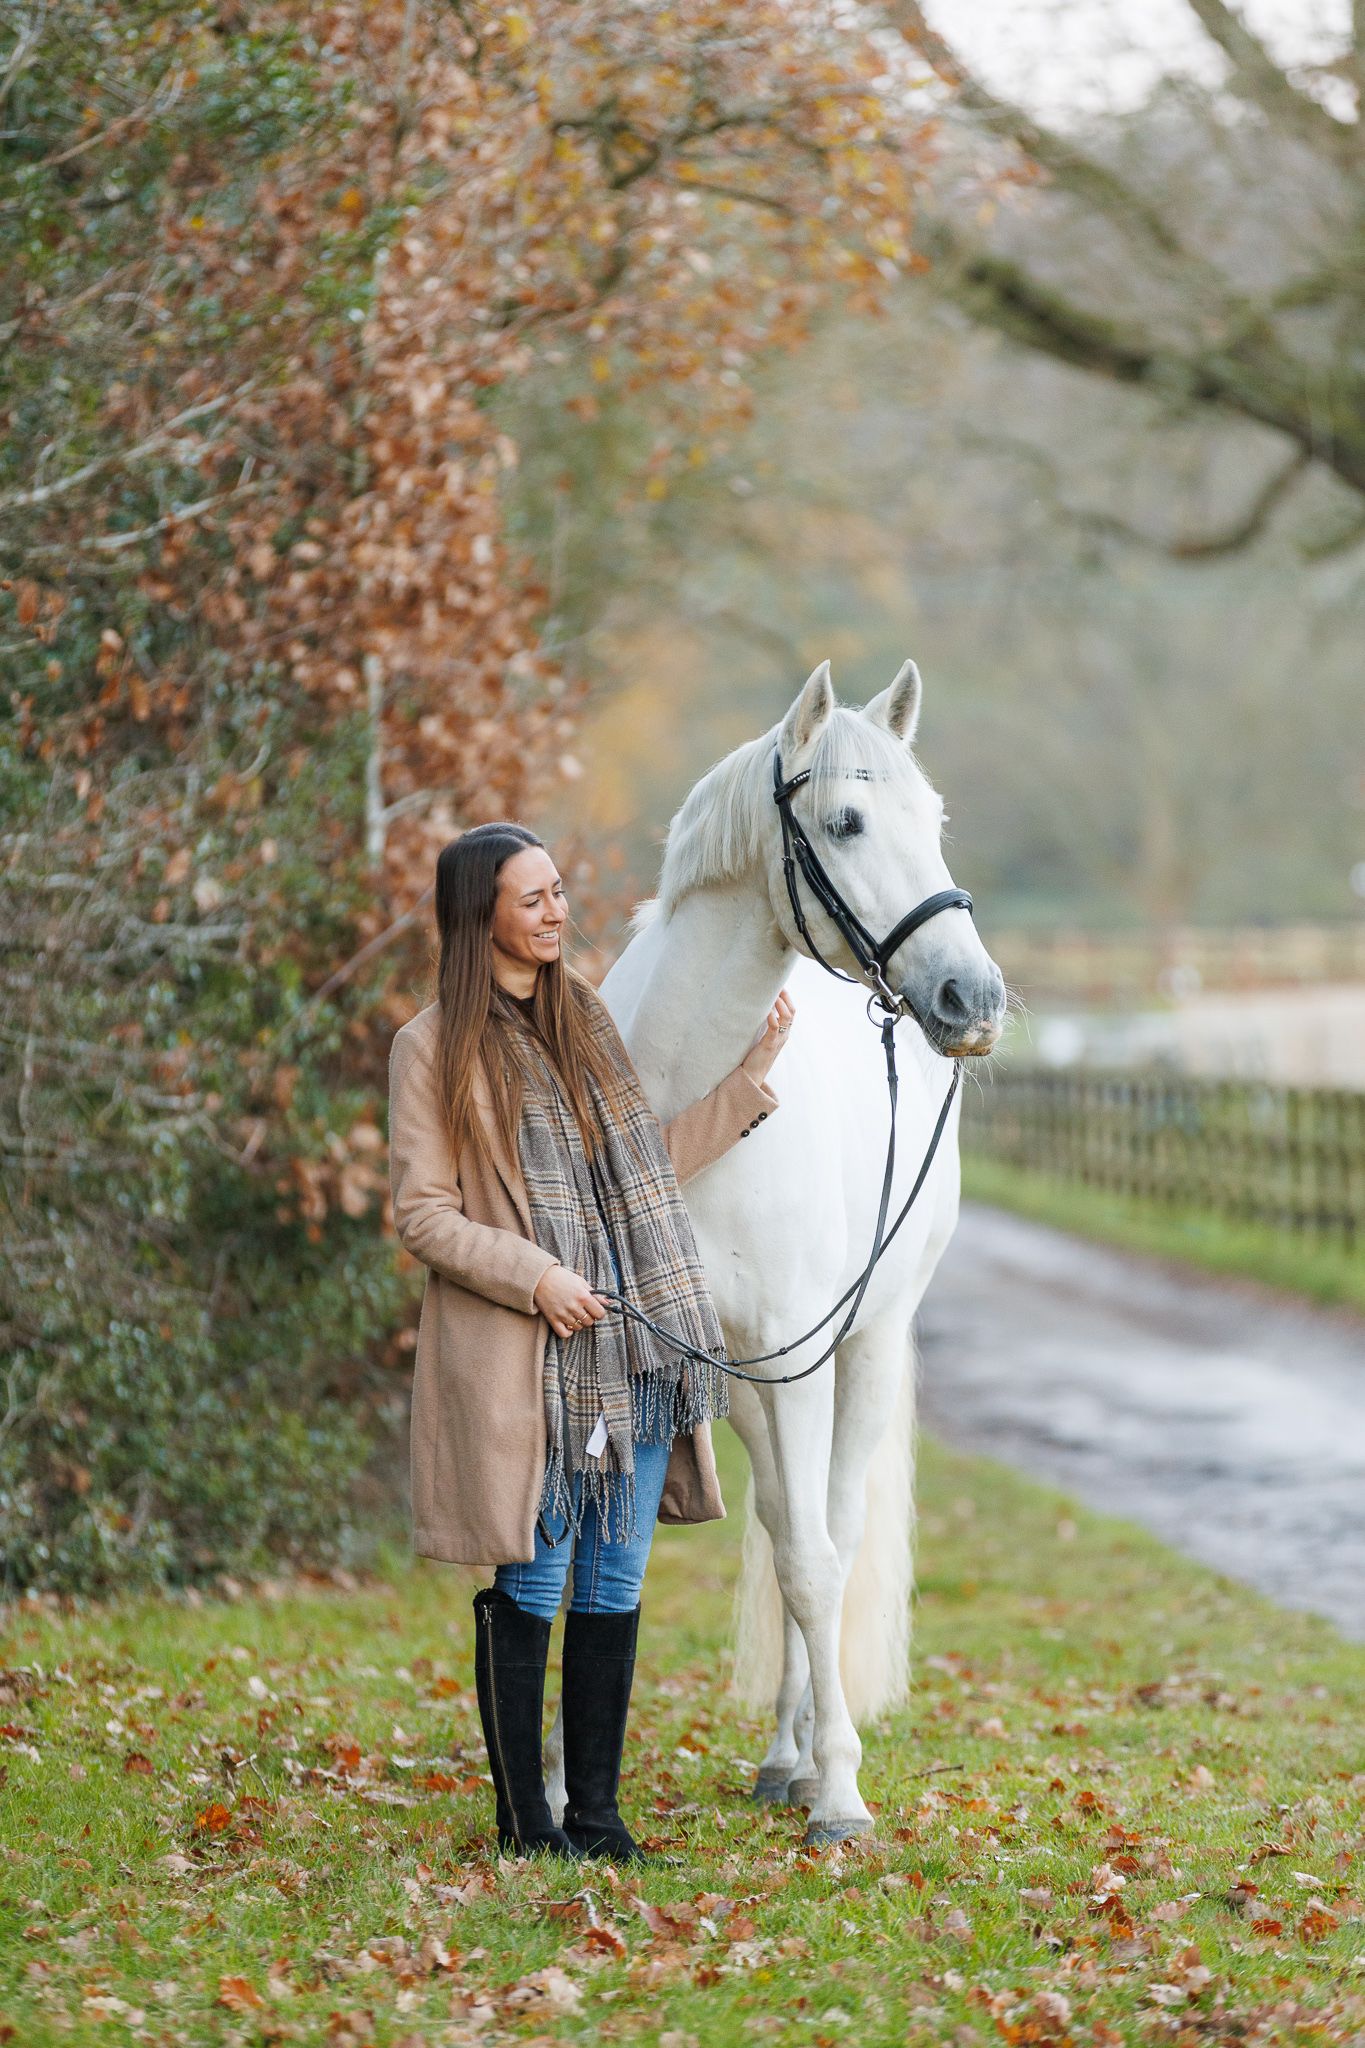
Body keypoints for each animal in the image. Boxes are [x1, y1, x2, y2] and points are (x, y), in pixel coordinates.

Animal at [546, 657, 1006, 1845]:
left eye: (934, 819)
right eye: (844, 822)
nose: (973, 998)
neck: (689, 1106)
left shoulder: (803, 1359)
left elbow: (812, 1562)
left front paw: (839, 1792)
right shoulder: (643, 1356)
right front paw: (559, 1785)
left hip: (861, 1348)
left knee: (828, 1536)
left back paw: (803, 1760)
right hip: (753, 1380)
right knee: (786, 1521)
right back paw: (784, 1753)